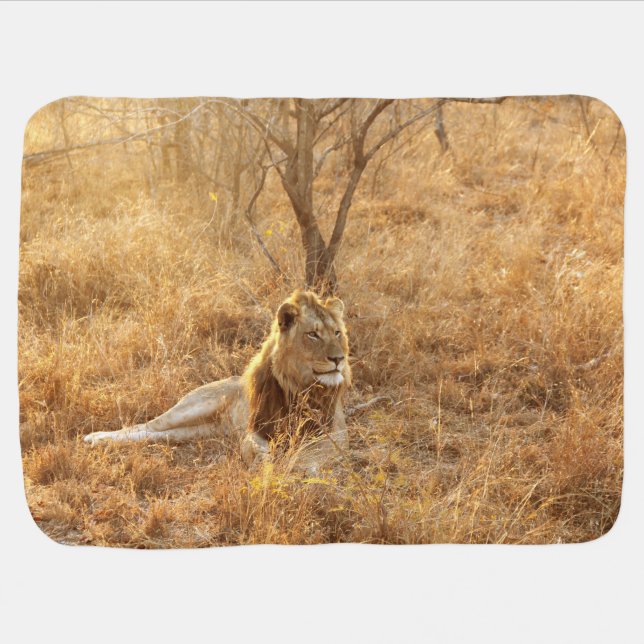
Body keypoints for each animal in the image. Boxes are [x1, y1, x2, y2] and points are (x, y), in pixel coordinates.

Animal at [84, 290, 351, 472]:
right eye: (313, 334)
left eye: (337, 332)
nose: (339, 359)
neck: (301, 386)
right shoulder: (256, 429)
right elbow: (253, 449)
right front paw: (265, 465)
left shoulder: (336, 433)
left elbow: (312, 453)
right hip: (191, 407)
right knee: (146, 426)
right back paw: (96, 438)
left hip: (196, 431)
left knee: (156, 435)